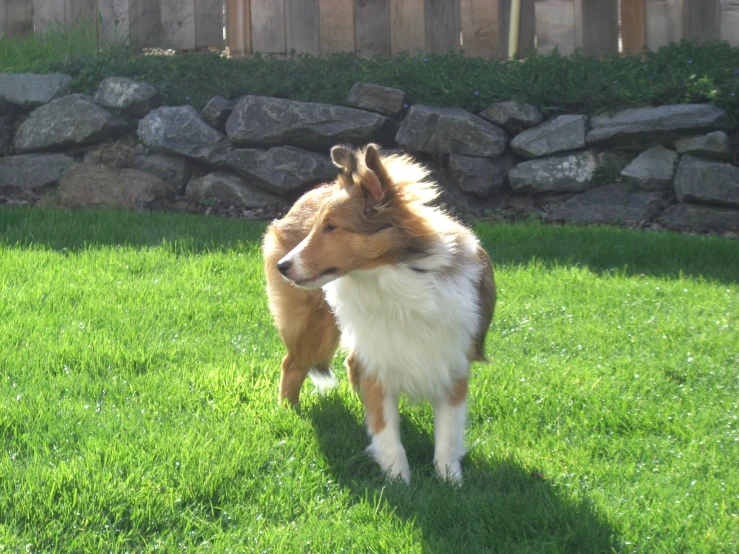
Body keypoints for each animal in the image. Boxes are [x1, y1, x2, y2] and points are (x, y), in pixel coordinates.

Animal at [264, 144, 494, 480]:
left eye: (331, 227)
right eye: (318, 226)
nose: (283, 267)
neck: (399, 280)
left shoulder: (451, 361)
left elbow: (448, 433)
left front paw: (449, 480)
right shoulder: (377, 357)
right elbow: (387, 430)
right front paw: (398, 479)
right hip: (317, 327)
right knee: (291, 364)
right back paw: (288, 414)